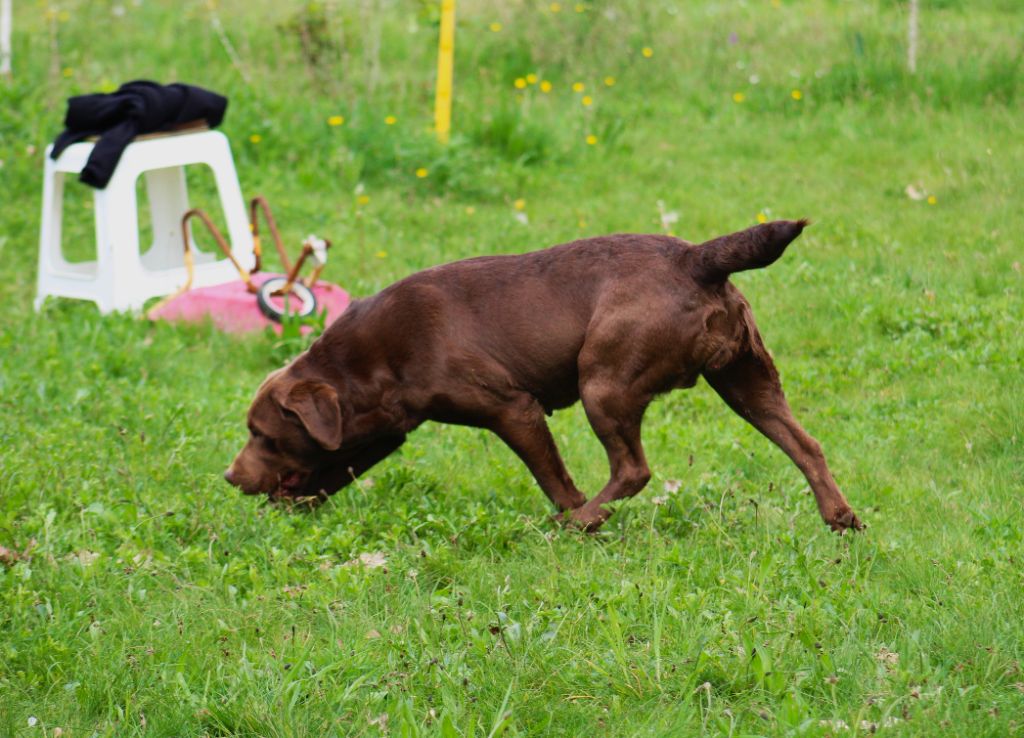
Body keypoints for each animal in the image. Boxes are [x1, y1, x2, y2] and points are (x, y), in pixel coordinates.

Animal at [226, 219, 864, 528]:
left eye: (261, 433)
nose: (230, 477)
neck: (370, 359)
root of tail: (696, 258)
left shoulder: (513, 409)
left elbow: (553, 480)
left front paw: (570, 509)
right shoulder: (382, 431)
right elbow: (331, 470)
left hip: (604, 383)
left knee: (633, 470)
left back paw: (582, 523)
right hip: (746, 381)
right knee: (806, 444)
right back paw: (839, 518)